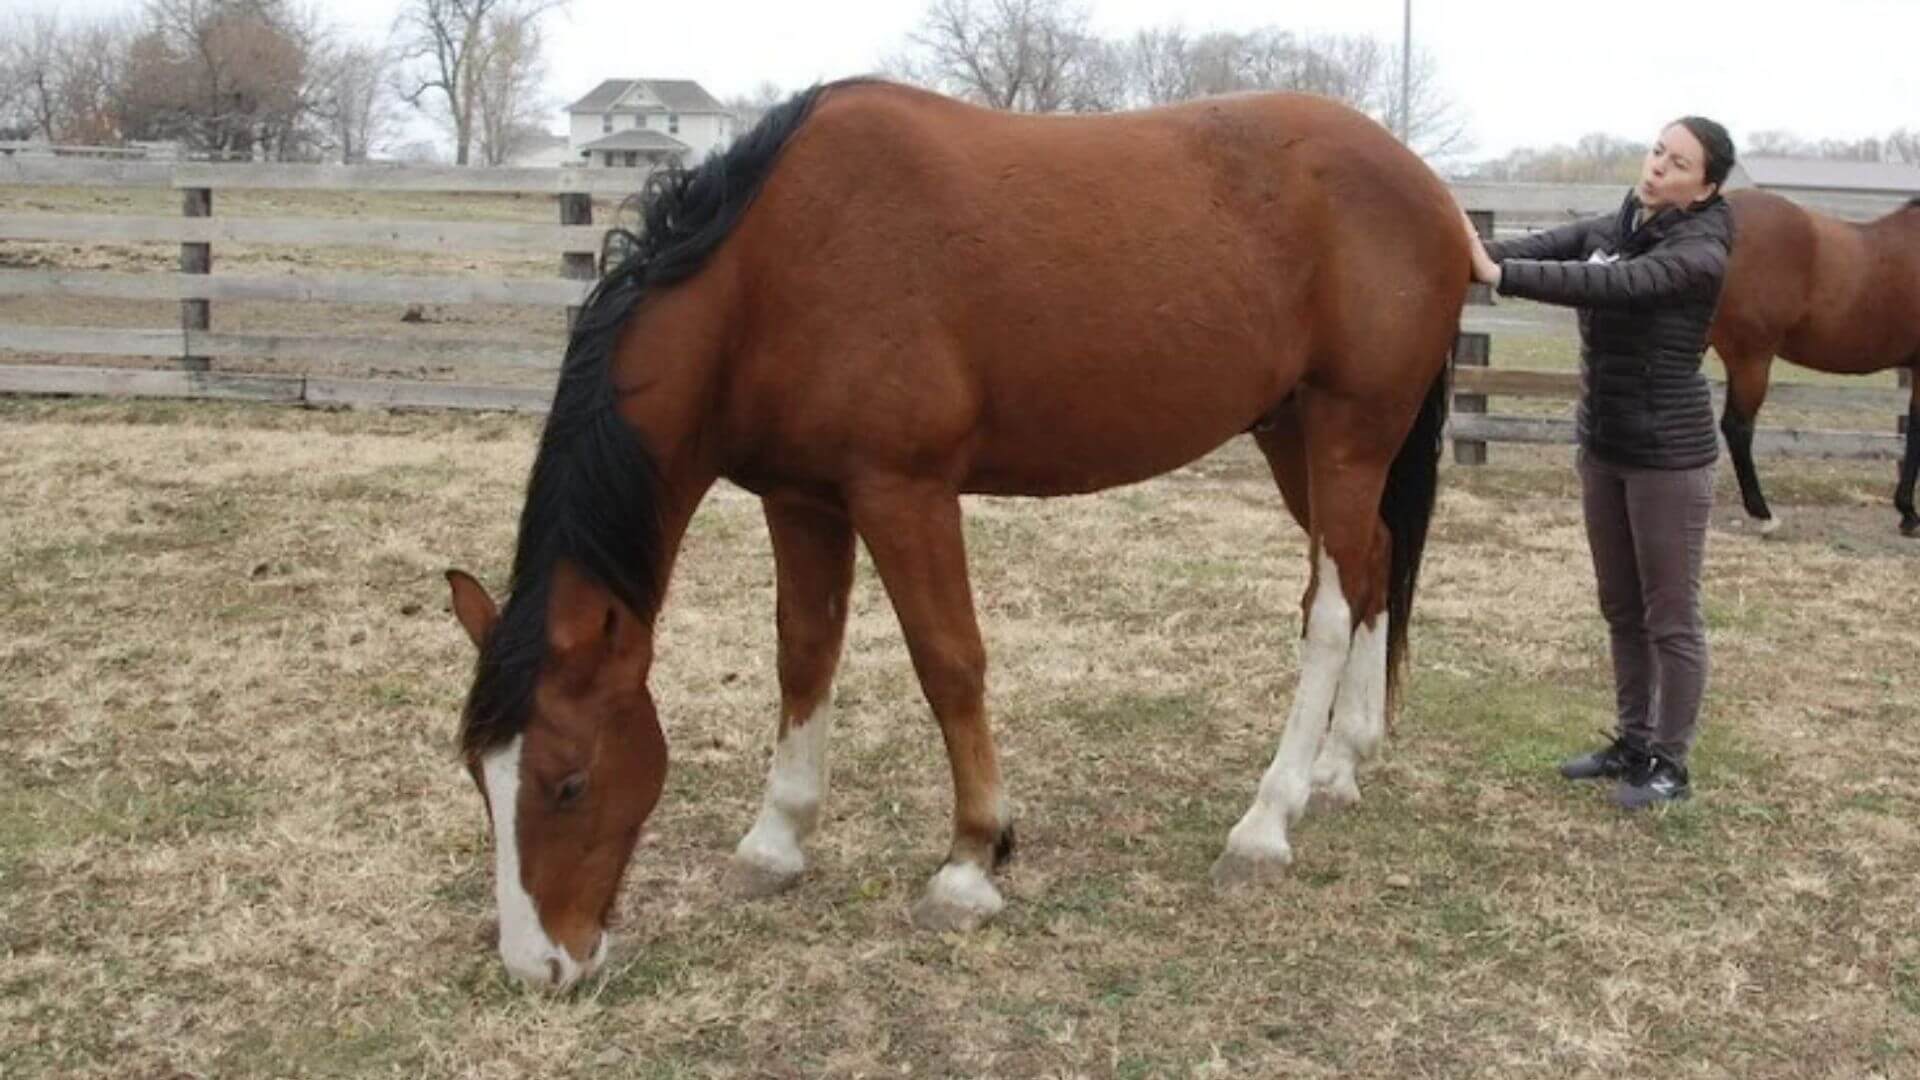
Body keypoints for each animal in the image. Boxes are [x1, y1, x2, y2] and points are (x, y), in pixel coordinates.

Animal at [442, 79, 1469, 991]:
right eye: (479, 777)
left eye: (568, 783)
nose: (539, 967)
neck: (771, 267)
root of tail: (1433, 196)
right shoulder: (802, 499)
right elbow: (803, 656)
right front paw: (777, 841)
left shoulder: (905, 493)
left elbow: (948, 662)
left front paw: (972, 860)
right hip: (1295, 435)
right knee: (1372, 568)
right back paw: (1343, 762)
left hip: (1347, 431)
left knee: (1328, 612)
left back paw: (1266, 822)